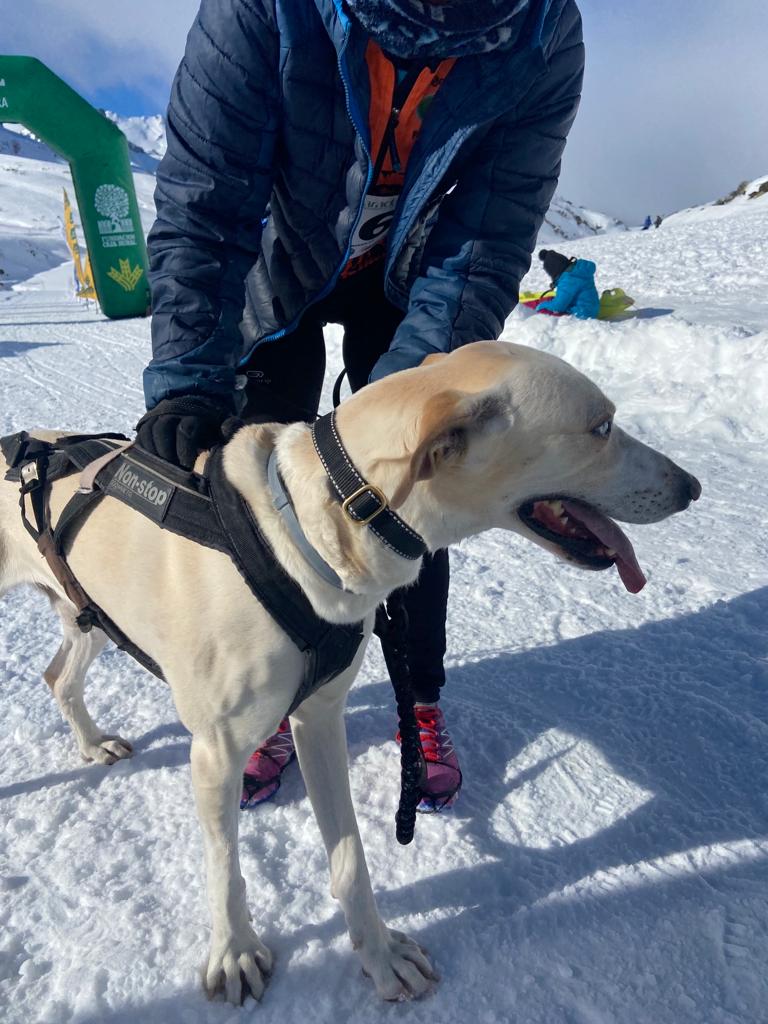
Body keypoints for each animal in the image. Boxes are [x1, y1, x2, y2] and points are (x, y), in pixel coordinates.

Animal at [0, 342, 700, 999]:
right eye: (602, 426)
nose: (691, 487)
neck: (309, 527)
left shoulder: (319, 719)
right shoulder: (216, 754)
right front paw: (235, 953)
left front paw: (379, 954)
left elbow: (350, 859)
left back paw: (92, 743)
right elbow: (226, 870)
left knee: (58, 677)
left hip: (87, 615)